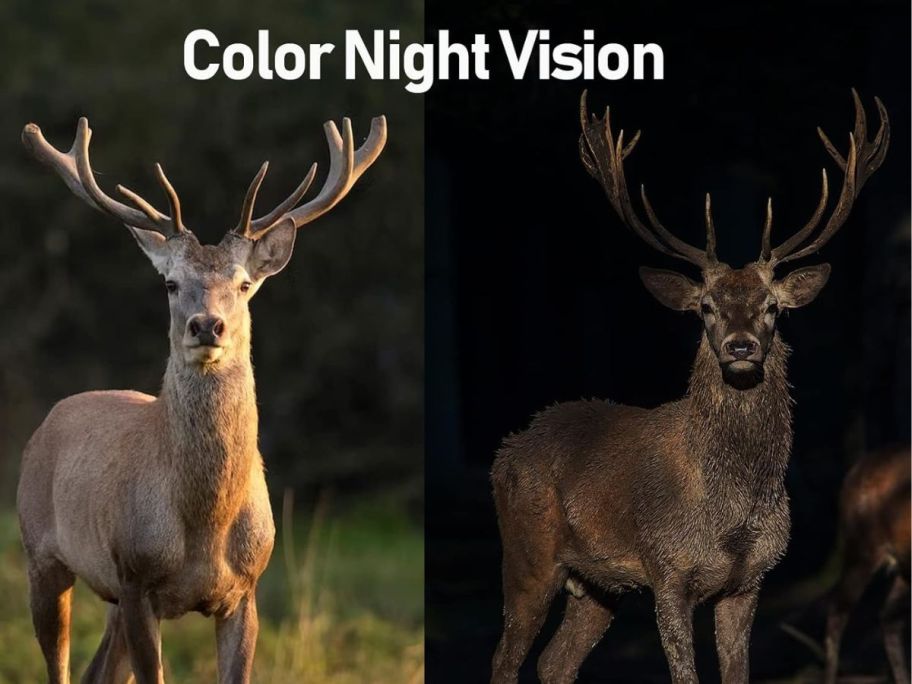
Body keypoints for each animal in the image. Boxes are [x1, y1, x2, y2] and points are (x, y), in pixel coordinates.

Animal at [16, 112, 386, 684]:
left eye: (244, 283)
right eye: (170, 283)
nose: (206, 325)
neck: (207, 526)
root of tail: (48, 421)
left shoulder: (246, 590)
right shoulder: (137, 576)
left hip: (108, 596)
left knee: (98, 672)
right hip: (41, 552)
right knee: (59, 665)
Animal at [489, 89, 889, 684]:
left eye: (773, 308)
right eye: (705, 307)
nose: (741, 347)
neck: (731, 510)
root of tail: (506, 451)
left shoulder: (750, 580)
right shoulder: (667, 569)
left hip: (598, 583)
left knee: (555, 662)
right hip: (526, 554)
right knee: (505, 659)